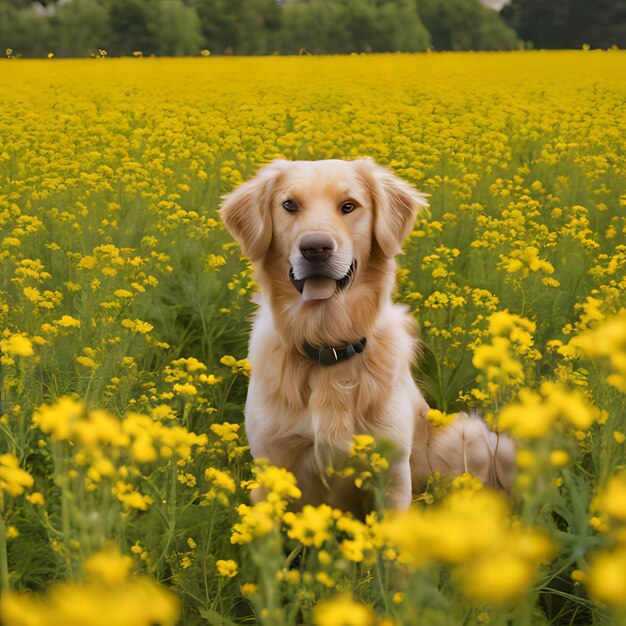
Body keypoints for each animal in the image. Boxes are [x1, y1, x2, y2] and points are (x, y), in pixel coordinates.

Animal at [219, 157, 512, 512]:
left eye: (349, 206)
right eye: (289, 205)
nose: (315, 249)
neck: (328, 346)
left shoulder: (393, 471)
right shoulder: (271, 463)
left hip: (470, 436)